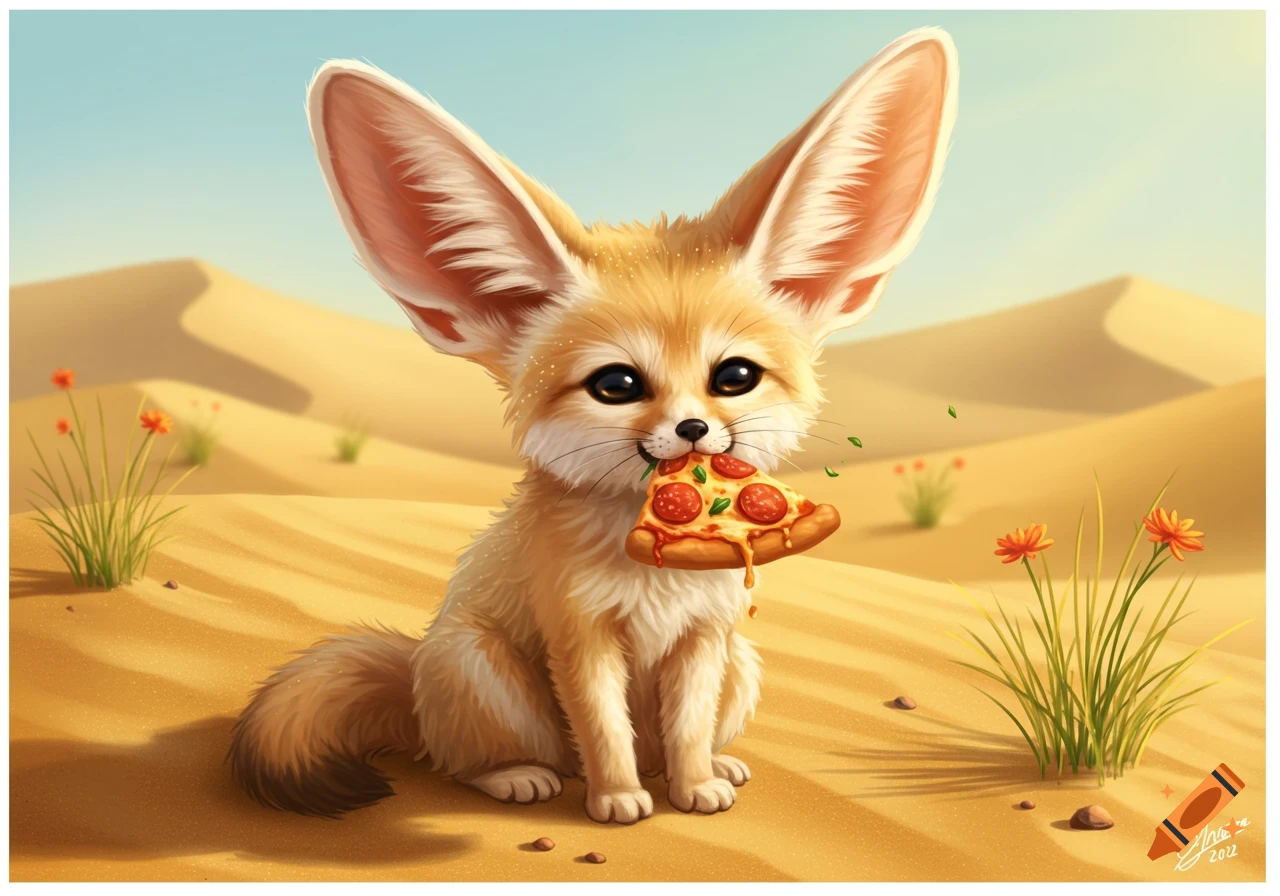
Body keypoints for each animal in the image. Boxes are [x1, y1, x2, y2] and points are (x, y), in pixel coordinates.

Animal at [231, 28, 957, 824]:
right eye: (617, 385)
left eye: (734, 376)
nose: (693, 430)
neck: (653, 571)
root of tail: (417, 683)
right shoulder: (579, 636)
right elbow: (604, 729)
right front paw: (616, 800)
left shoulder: (705, 636)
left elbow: (688, 727)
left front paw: (694, 786)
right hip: (477, 666)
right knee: (472, 760)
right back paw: (519, 776)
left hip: (741, 662)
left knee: (669, 738)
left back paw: (713, 767)